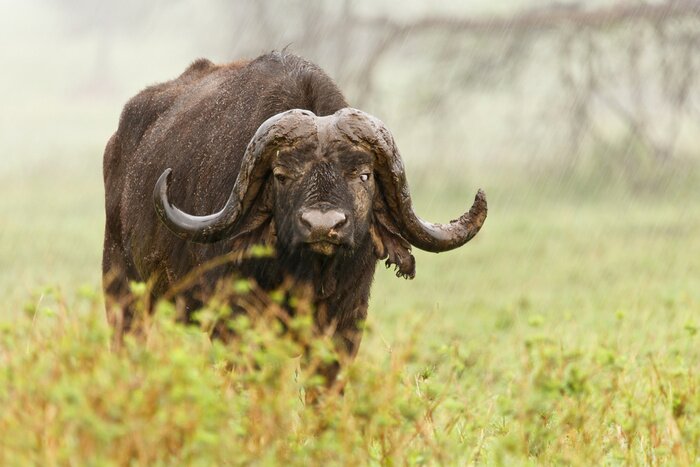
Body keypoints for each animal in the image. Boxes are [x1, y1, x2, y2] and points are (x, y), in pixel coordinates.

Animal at [102, 51, 487, 385]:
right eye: (281, 174)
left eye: (363, 175)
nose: (323, 226)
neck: (306, 275)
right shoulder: (236, 323)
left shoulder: (346, 325)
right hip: (123, 293)